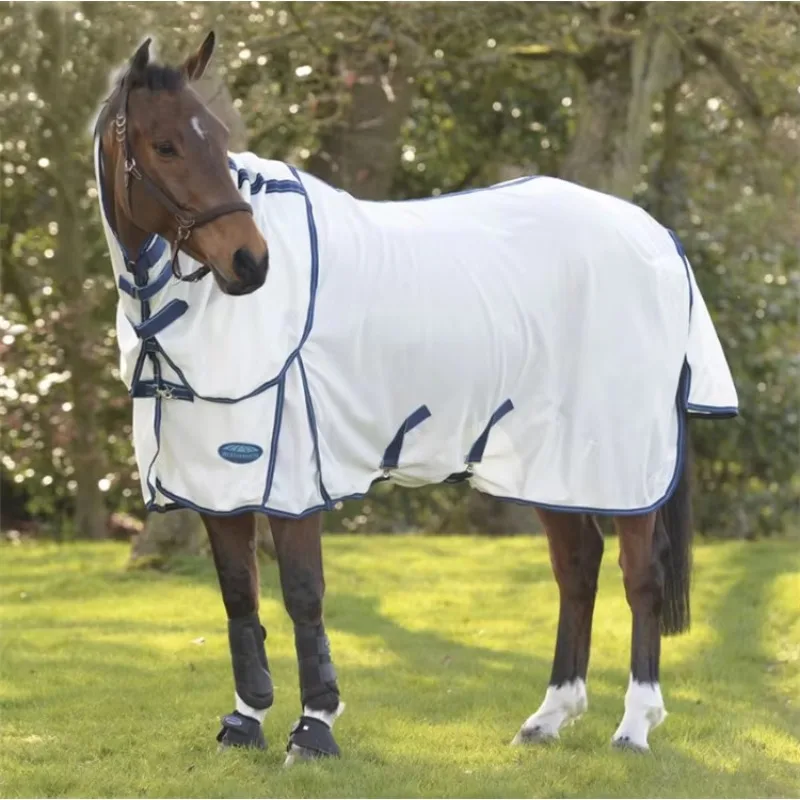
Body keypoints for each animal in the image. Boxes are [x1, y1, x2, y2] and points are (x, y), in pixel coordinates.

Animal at [92, 33, 738, 763]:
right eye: (166, 145)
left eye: (221, 140)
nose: (250, 263)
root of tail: (660, 241)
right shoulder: (215, 481)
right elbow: (238, 595)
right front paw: (246, 720)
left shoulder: (292, 475)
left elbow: (303, 593)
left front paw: (314, 727)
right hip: (556, 462)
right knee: (578, 568)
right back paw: (547, 717)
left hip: (626, 461)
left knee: (641, 574)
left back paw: (634, 726)